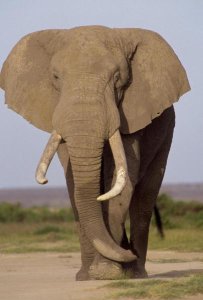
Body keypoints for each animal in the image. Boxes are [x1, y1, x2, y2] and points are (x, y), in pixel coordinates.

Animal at [0, 25, 190, 282]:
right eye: (55, 78)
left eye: (117, 78)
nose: (127, 253)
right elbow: (74, 184)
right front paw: (87, 276)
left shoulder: (130, 114)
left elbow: (122, 179)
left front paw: (106, 272)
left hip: (167, 131)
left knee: (144, 198)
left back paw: (136, 272)